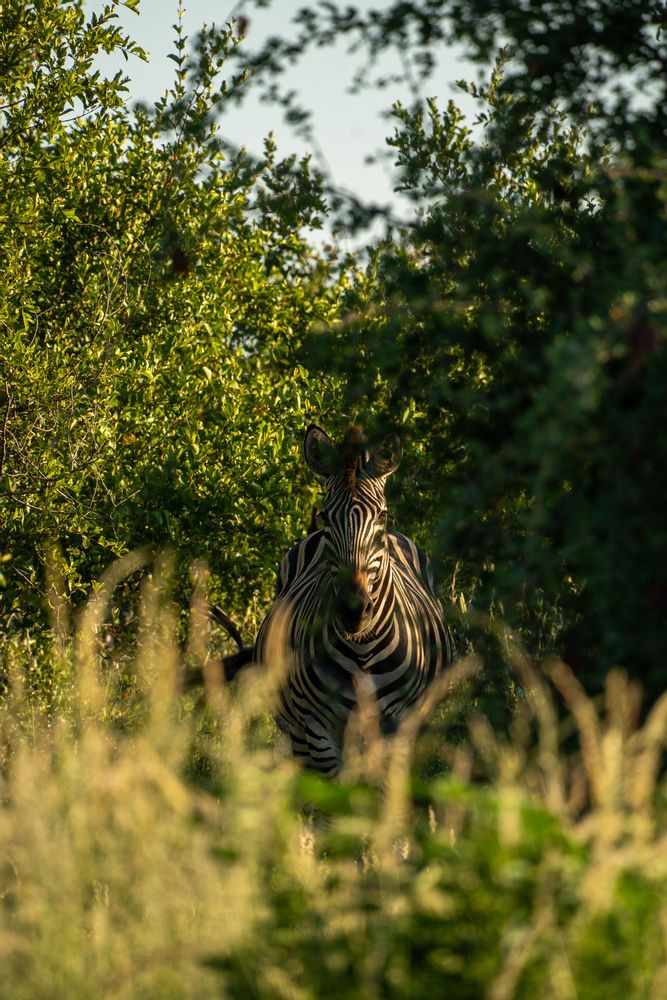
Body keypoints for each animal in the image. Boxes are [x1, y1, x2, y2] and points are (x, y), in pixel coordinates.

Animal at [253, 424, 454, 776]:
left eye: (382, 517)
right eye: (326, 517)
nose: (353, 611)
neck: (361, 649)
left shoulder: (398, 726)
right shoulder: (316, 730)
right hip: (298, 733)